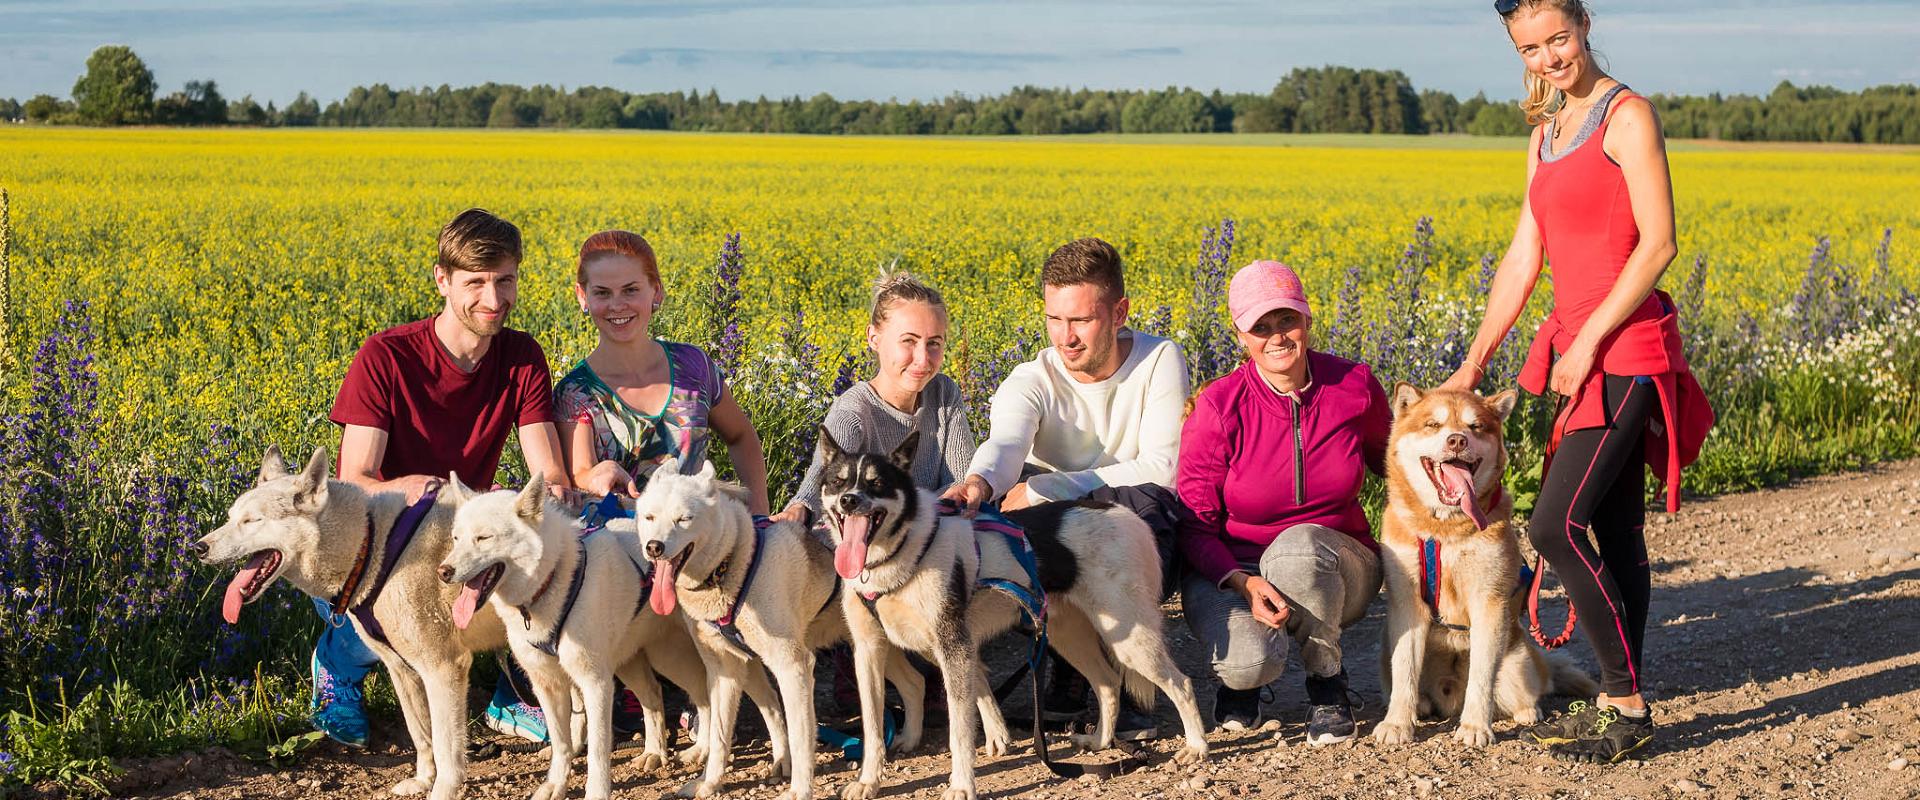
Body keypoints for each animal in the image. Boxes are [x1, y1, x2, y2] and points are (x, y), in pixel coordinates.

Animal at [196, 448, 503, 798]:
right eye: (231, 517)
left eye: (251, 521)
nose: (198, 547)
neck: (373, 547)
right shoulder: (403, 670)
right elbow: (421, 735)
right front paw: (423, 780)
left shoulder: (444, 669)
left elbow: (447, 750)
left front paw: (441, 791)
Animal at [439, 473, 729, 798]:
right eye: (456, 538)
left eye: (483, 538)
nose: (443, 572)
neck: (555, 580)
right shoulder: (548, 685)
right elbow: (561, 743)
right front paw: (555, 783)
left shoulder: (596, 684)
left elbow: (598, 751)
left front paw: (597, 790)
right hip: (631, 663)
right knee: (654, 695)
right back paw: (654, 752)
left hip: (669, 658)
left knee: (704, 696)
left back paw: (701, 749)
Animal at [633, 458, 925, 798]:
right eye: (649, 517)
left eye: (684, 519)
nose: (654, 547)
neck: (735, 563)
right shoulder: (725, 670)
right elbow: (719, 737)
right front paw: (709, 782)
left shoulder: (793, 666)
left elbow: (800, 739)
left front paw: (799, 789)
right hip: (874, 647)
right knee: (915, 683)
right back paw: (909, 739)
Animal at [817, 429, 1205, 798]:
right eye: (837, 481)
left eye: (876, 483)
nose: (849, 500)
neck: (899, 553)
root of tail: (1127, 517)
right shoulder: (868, 652)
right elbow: (872, 728)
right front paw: (868, 782)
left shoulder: (953, 649)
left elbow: (960, 731)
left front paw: (962, 786)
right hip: (1066, 636)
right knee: (1108, 683)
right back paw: (1099, 741)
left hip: (1128, 640)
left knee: (1181, 683)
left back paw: (1197, 747)